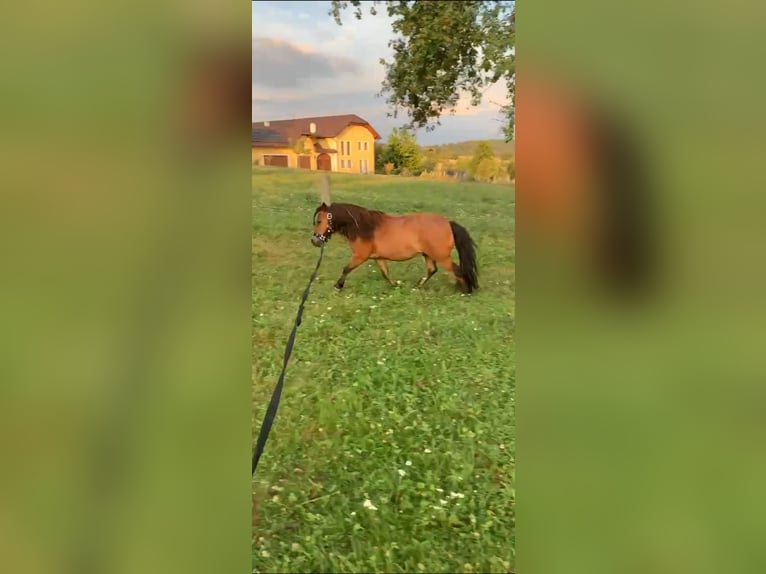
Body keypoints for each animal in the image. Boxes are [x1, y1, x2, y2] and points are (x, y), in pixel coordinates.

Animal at [311, 201, 479, 293]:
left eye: (319, 221)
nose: (314, 241)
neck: (364, 227)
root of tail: (448, 223)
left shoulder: (360, 256)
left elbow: (346, 269)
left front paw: (338, 286)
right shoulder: (378, 258)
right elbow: (385, 273)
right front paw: (395, 285)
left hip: (441, 256)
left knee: (457, 271)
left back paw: (466, 291)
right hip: (428, 255)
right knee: (432, 270)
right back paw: (417, 287)